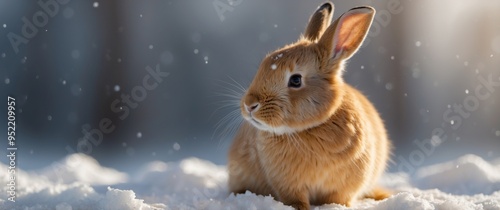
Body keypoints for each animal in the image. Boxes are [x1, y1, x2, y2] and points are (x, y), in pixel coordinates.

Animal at [229, 2, 392, 210]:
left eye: (296, 80)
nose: (249, 105)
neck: (310, 128)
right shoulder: (288, 184)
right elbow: (295, 198)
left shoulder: (345, 185)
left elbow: (337, 198)